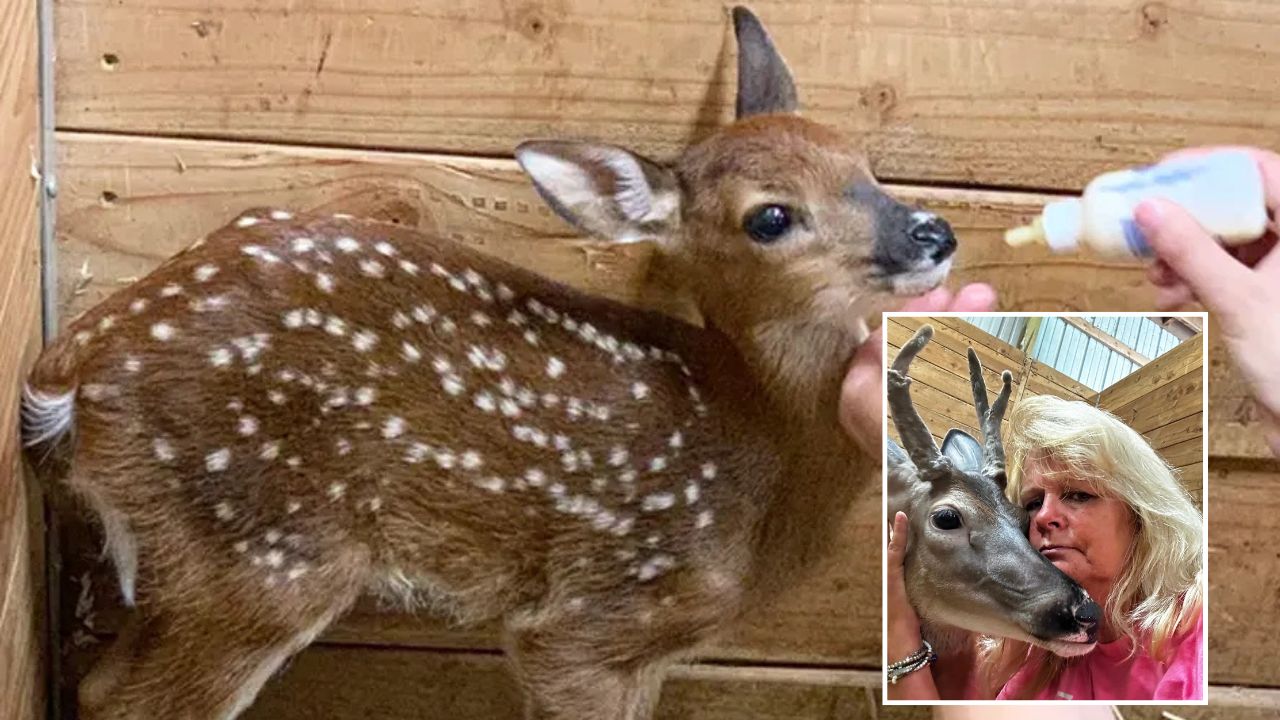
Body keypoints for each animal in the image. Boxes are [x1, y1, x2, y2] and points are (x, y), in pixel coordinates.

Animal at [21, 7, 961, 720]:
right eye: (769, 217)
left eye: (864, 164)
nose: (932, 233)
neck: (757, 437)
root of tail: (77, 362)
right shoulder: (592, 620)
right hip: (261, 549)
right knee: (137, 701)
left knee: (101, 685)